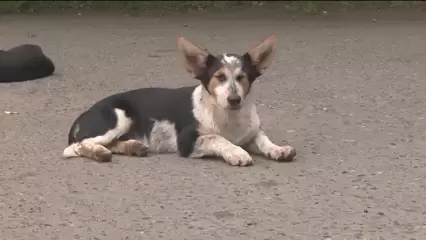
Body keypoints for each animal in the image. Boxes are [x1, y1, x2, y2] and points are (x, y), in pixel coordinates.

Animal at [63, 35, 296, 166]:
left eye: (242, 77)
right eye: (219, 77)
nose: (234, 99)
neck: (228, 116)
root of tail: (82, 116)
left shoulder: (251, 132)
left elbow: (262, 138)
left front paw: (278, 149)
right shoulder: (186, 141)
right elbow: (218, 138)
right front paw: (237, 152)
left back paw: (132, 147)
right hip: (120, 116)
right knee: (77, 146)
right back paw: (99, 152)